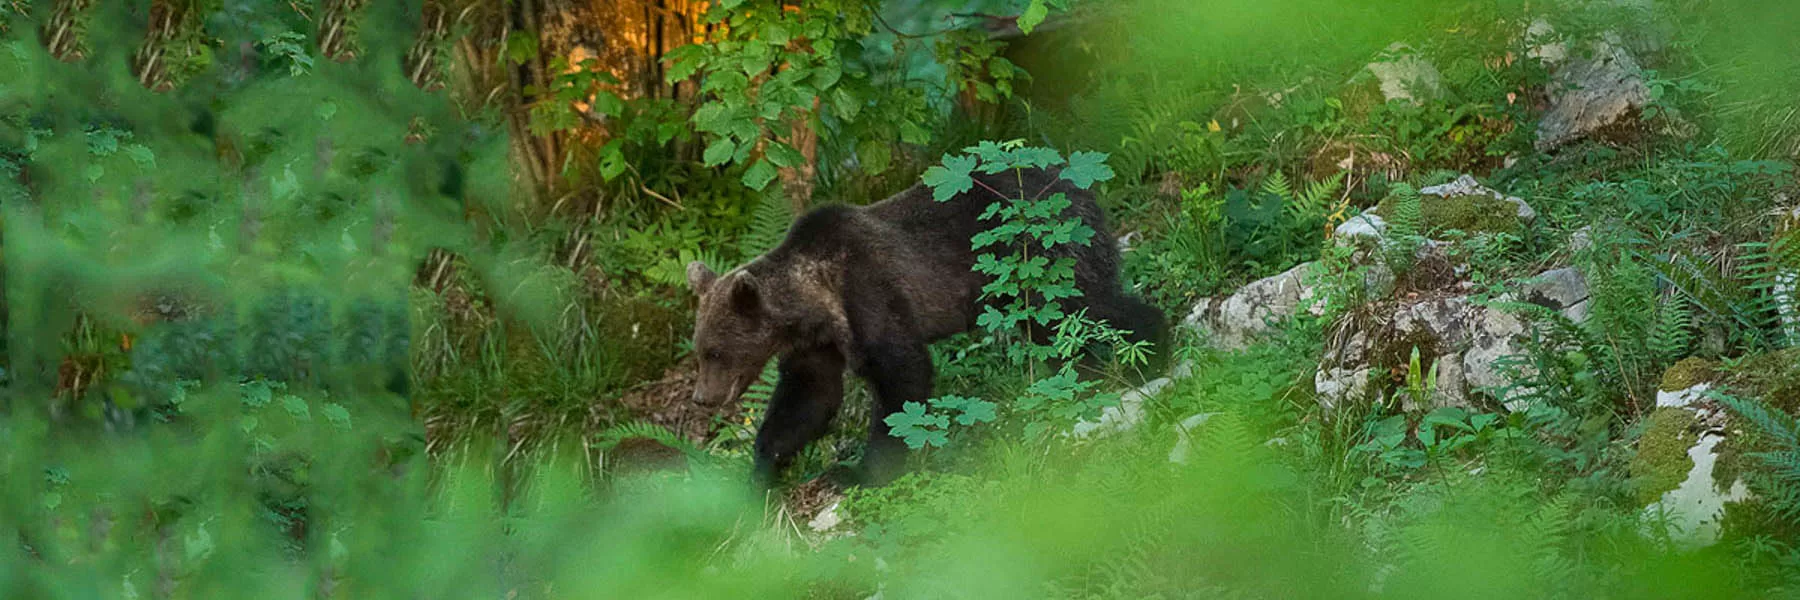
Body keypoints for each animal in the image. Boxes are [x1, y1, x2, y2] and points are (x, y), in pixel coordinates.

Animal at [687, 163, 1166, 486]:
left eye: (715, 350)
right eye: (699, 350)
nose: (701, 397)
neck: (815, 300)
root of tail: (1079, 186)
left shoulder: (869, 291)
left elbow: (901, 375)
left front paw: (861, 472)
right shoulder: (816, 345)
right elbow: (807, 399)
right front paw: (760, 472)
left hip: (1038, 253)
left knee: (1083, 308)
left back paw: (1150, 354)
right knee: (1055, 331)